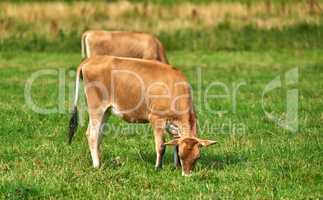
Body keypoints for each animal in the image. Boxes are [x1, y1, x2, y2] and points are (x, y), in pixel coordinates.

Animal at [68, 55, 216, 176]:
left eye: (197, 157)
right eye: (181, 155)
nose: (187, 175)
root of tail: (89, 60)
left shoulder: (173, 125)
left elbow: (174, 142)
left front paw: (176, 166)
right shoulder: (157, 118)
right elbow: (161, 146)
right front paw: (158, 167)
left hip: (106, 111)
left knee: (98, 135)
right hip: (96, 107)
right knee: (92, 135)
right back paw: (97, 165)